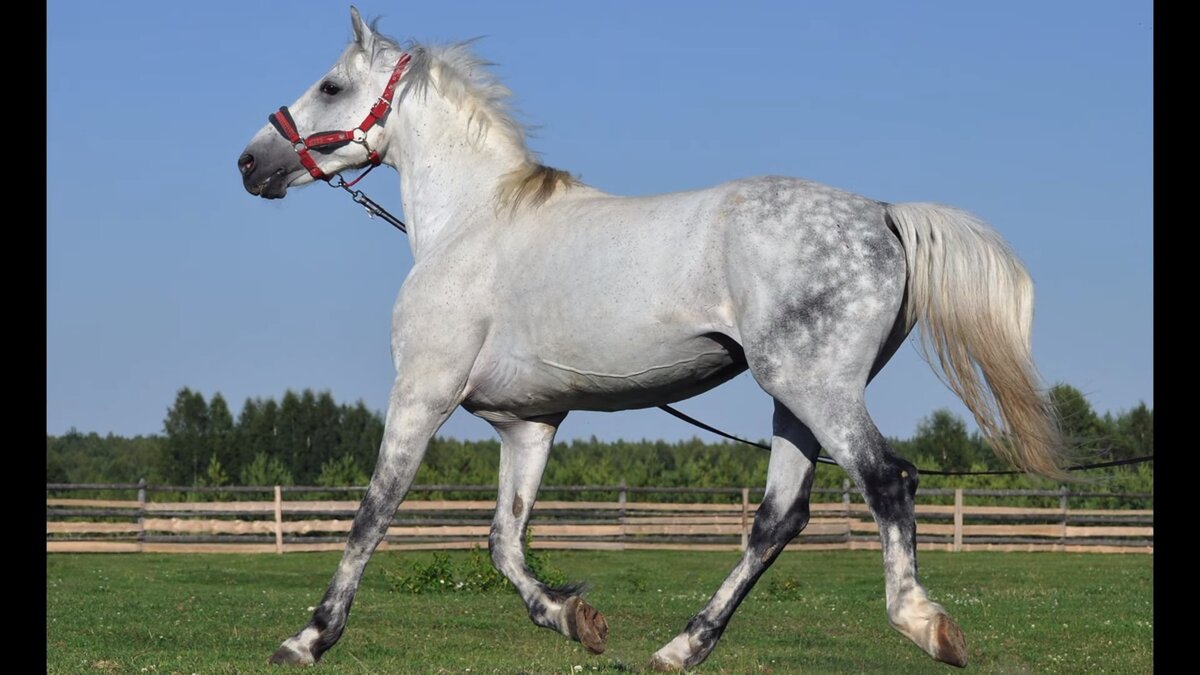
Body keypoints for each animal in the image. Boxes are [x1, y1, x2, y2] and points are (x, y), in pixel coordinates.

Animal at [238, 6, 1065, 667]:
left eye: (331, 87)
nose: (251, 162)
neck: (472, 224)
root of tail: (885, 213)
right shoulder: (527, 424)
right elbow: (504, 540)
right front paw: (576, 618)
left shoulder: (422, 393)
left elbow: (372, 515)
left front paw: (307, 638)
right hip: (794, 402)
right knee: (778, 519)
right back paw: (682, 645)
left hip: (816, 388)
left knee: (886, 479)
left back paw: (925, 624)